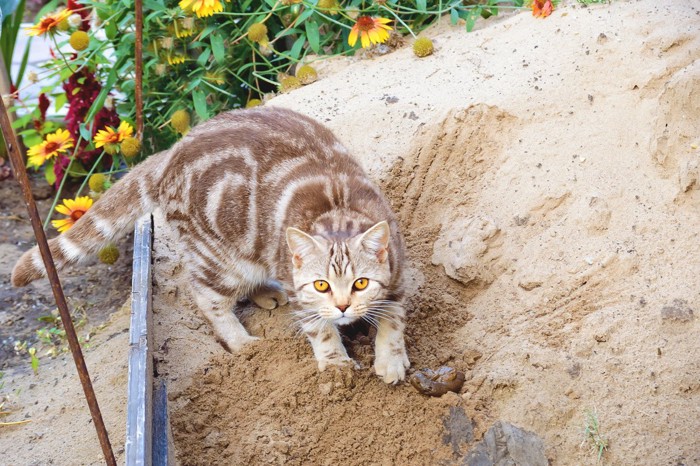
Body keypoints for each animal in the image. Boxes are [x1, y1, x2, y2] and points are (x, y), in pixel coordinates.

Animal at [12, 107, 410, 384]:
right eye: (321, 285)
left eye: (360, 283)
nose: (343, 307)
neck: (336, 208)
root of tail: (168, 154)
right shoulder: (301, 293)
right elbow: (321, 331)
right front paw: (336, 365)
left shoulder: (398, 279)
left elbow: (392, 322)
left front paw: (390, 359)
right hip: (220, 259)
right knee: (207, 297)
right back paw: (243, 343)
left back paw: (266, 293)